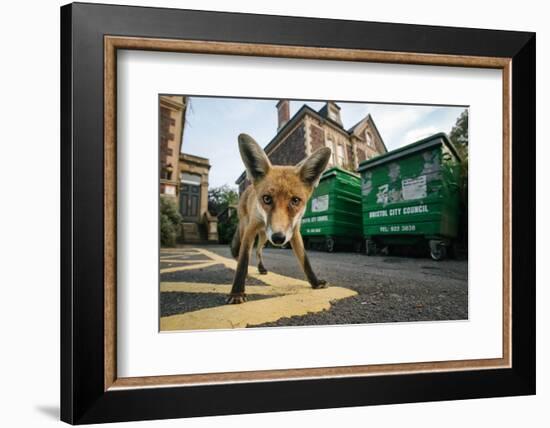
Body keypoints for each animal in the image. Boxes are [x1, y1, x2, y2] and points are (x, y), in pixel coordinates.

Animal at [227, 134, 332, 304]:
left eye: (295, 201)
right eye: (267, 199)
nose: (278, 238)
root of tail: (248, 188)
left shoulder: (294, 231)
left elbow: (305, 260)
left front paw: (315, 283)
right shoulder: (251, 229)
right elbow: (243, 260)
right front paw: (237, 292)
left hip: (264, 236)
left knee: (258, 250)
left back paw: (261, 268)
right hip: (246, 228)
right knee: (244, 252)